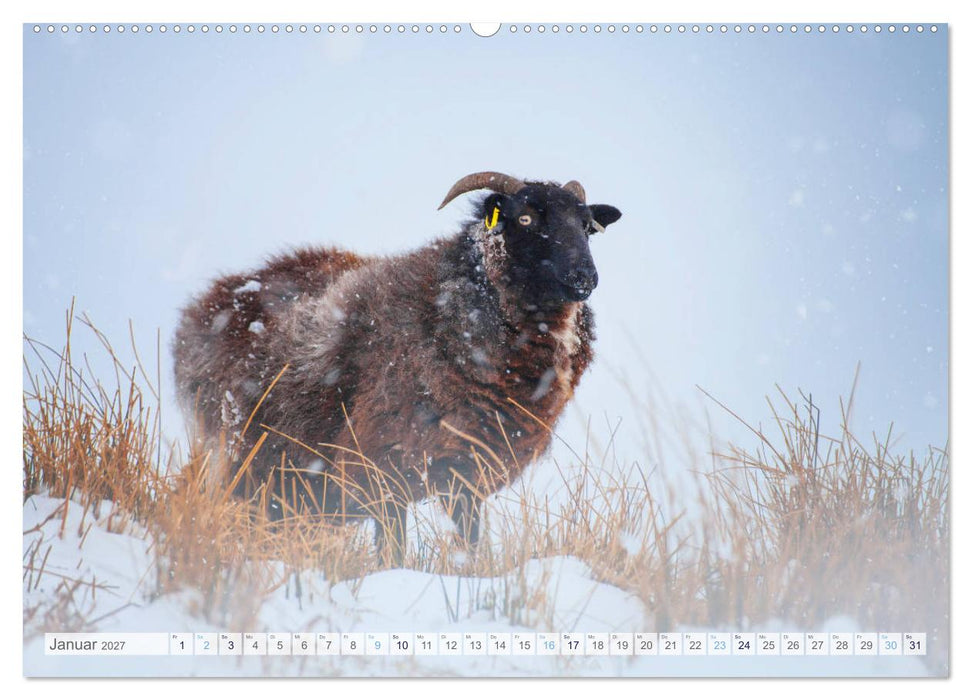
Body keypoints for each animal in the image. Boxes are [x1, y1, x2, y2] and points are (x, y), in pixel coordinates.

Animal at [173, 171, 622, 565]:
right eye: (526, 218)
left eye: (587, 226)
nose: (585, 277)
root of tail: (207, 304)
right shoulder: (382, 468)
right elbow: (392, 550)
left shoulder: (467, 473)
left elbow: (471, 541)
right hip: (241, 453)